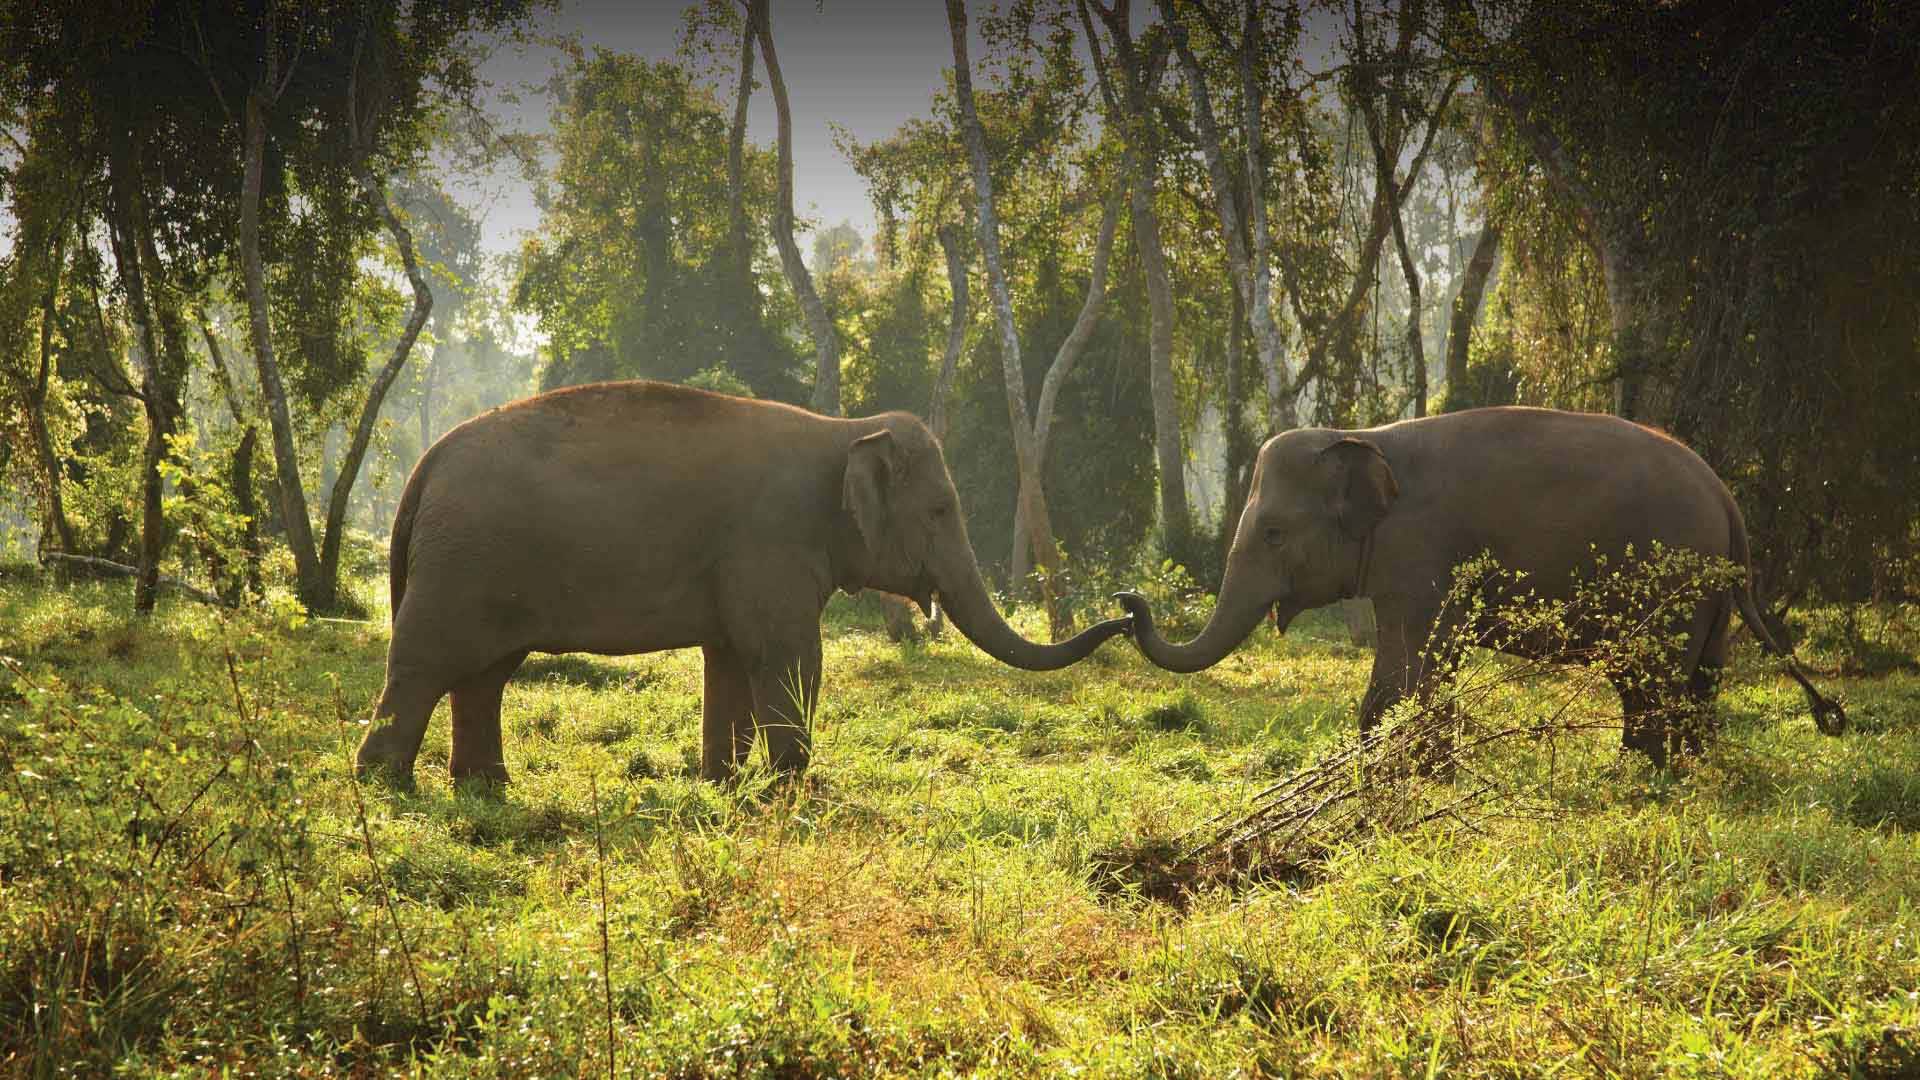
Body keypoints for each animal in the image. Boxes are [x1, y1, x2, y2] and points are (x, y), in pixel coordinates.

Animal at [354, 380, 1131, 786]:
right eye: (941, 509)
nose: (1130, 609)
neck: (843, 430)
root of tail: (424, 467)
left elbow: (729, 659)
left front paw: (721, 784)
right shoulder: (770, 543)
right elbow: (786, 655)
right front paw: (791, 788)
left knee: (485, 673)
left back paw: (486, 788)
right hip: (462, 564)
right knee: (427, 663)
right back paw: (387, 785)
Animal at [1115, 407, 1845, 766]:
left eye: (1271, 533)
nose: (1127, 602)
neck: (1362, 436)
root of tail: (1726, 499)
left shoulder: (1422, 549)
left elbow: (1418, 662)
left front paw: (1413, 772)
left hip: (1671, 582)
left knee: (1651, 680)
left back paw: (1642, 776)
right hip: (1707, 594)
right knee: (1696, 681)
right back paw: (1680, 772)